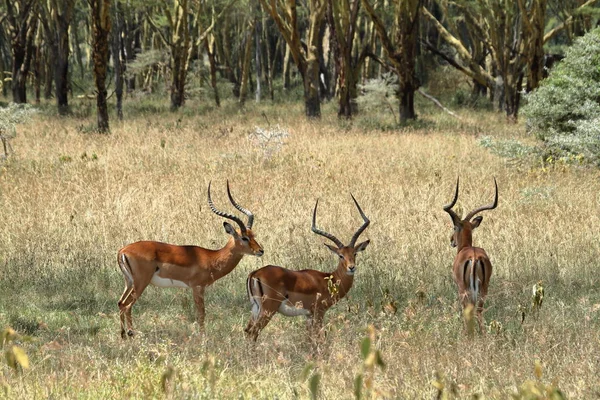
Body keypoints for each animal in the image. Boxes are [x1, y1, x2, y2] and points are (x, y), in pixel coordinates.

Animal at [117, 181, 262, 338]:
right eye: (244, 238)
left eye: (253, 235)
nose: (261, 251)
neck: (212, 258)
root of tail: (122, 251)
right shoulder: (198, 287)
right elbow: (201, 314)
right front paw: (203, 337)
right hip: (140, 283)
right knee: (127, 305)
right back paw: (131, 333)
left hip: (129, 282)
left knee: (121, 303)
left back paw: (123, 335)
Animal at [245, 195, 370, 342]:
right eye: (341, 255)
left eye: (354, 253)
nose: (351, 267)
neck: (329, 280)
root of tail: (255, 273)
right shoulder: (318, 312)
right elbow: (319, 337)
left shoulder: (308, 316)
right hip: (268, 310)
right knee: (253, 332)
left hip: (255, 309)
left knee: (247, 331)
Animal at [442, 177, 500, 332]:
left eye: (454, 227)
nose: (451, 240)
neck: (466, 248)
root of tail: (474, 257)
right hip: (484, 287)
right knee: (479, 311)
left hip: (465, 289)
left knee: (468, 311)